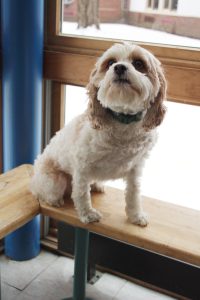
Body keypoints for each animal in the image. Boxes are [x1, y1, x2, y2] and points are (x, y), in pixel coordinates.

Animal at [30, 43, 166, 226]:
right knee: (44, 193)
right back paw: (54, 200)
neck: (123, 121)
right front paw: (87, 214)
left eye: (139, 63)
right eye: (110, 63)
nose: (119, 67)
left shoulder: (136, 167)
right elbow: (81, 193)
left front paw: (135, 215)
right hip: (55, 180)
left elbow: (133, 193)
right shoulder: (82, 166)